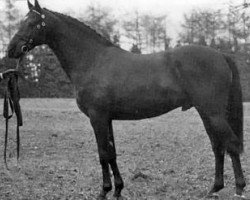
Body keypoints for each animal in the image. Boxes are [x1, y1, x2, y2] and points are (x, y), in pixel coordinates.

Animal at [7, 0, 246, 199]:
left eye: (32, 23)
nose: (11, 49)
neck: (93, 60)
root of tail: (221, 55)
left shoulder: (97, 117)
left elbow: (103, 153)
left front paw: (104, 192)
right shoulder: (107, 119)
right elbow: (112, 153)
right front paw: (118, 190)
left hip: (212, 113)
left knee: (231, 144)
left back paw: (239, 189)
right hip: (207, 113)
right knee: (218, 146)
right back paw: (214, 188)